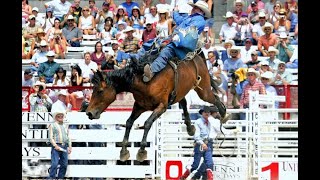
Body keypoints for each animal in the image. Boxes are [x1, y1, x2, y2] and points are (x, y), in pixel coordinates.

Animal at [85, 50, 228, 162]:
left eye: (100, 91)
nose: (89, 113)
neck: (144, 82)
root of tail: (197, 56)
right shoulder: (139, 106)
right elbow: (129, 122)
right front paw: (124, 151)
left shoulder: (161, 107)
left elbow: (147, 123)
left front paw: (141, 151)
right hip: (180, 91)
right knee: (184, 102)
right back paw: (190, 127)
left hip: (203, 90)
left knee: (215, 98)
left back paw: (224, 114)